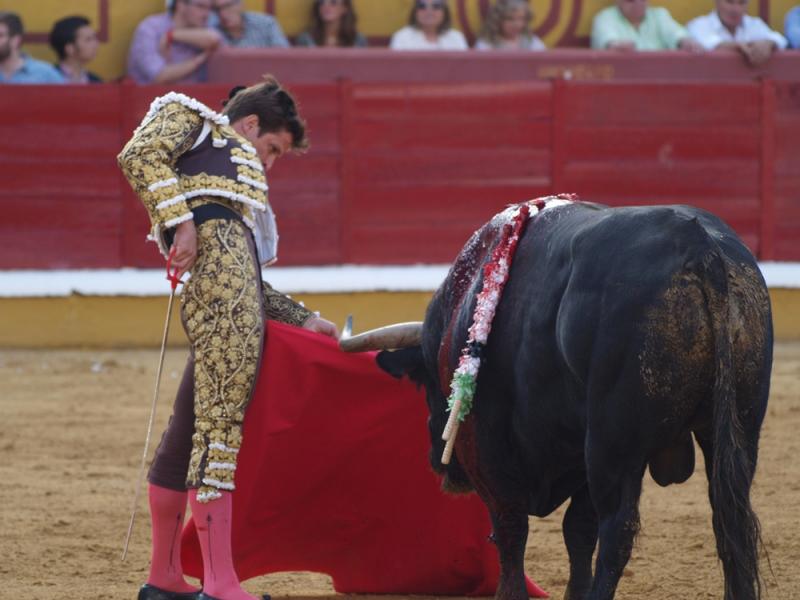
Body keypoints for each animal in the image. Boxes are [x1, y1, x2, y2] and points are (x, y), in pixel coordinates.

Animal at [370, 202, 776, 600]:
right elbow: (577, 530)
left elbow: (511, 529)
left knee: (618, 530)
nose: (438, 464)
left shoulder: (485, 450)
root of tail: (700, 248)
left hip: (614, 444)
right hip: (740, 429)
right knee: (731, 521)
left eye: (428, 387)